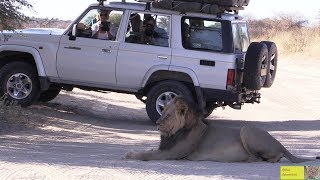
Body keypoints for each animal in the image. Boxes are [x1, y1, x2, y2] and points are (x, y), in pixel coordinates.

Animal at [125, 96, 320, 162]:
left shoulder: (171, 153)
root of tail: (282, 145)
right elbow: (149, 150)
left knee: (262, 158)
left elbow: (146, 155)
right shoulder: (165, 148)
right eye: (162, 110)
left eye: (168, 115)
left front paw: (130, 155)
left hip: (246, 130)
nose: (157, 123)